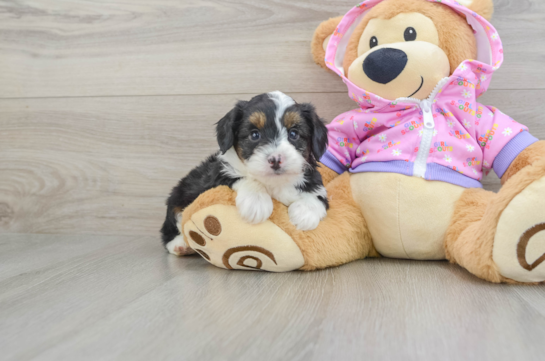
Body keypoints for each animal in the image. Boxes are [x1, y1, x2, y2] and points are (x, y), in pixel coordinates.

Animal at [160, 91, 328, 258]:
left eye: (294, 133)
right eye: (254, 135)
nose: (275, 159)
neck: (273, 182)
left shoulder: (313, 179)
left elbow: (317, 195)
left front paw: (305, 213)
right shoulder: (218, 175)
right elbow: (243, 178)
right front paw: (257, 203)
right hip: (179, 195)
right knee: (170, 224)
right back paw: (179, 244)